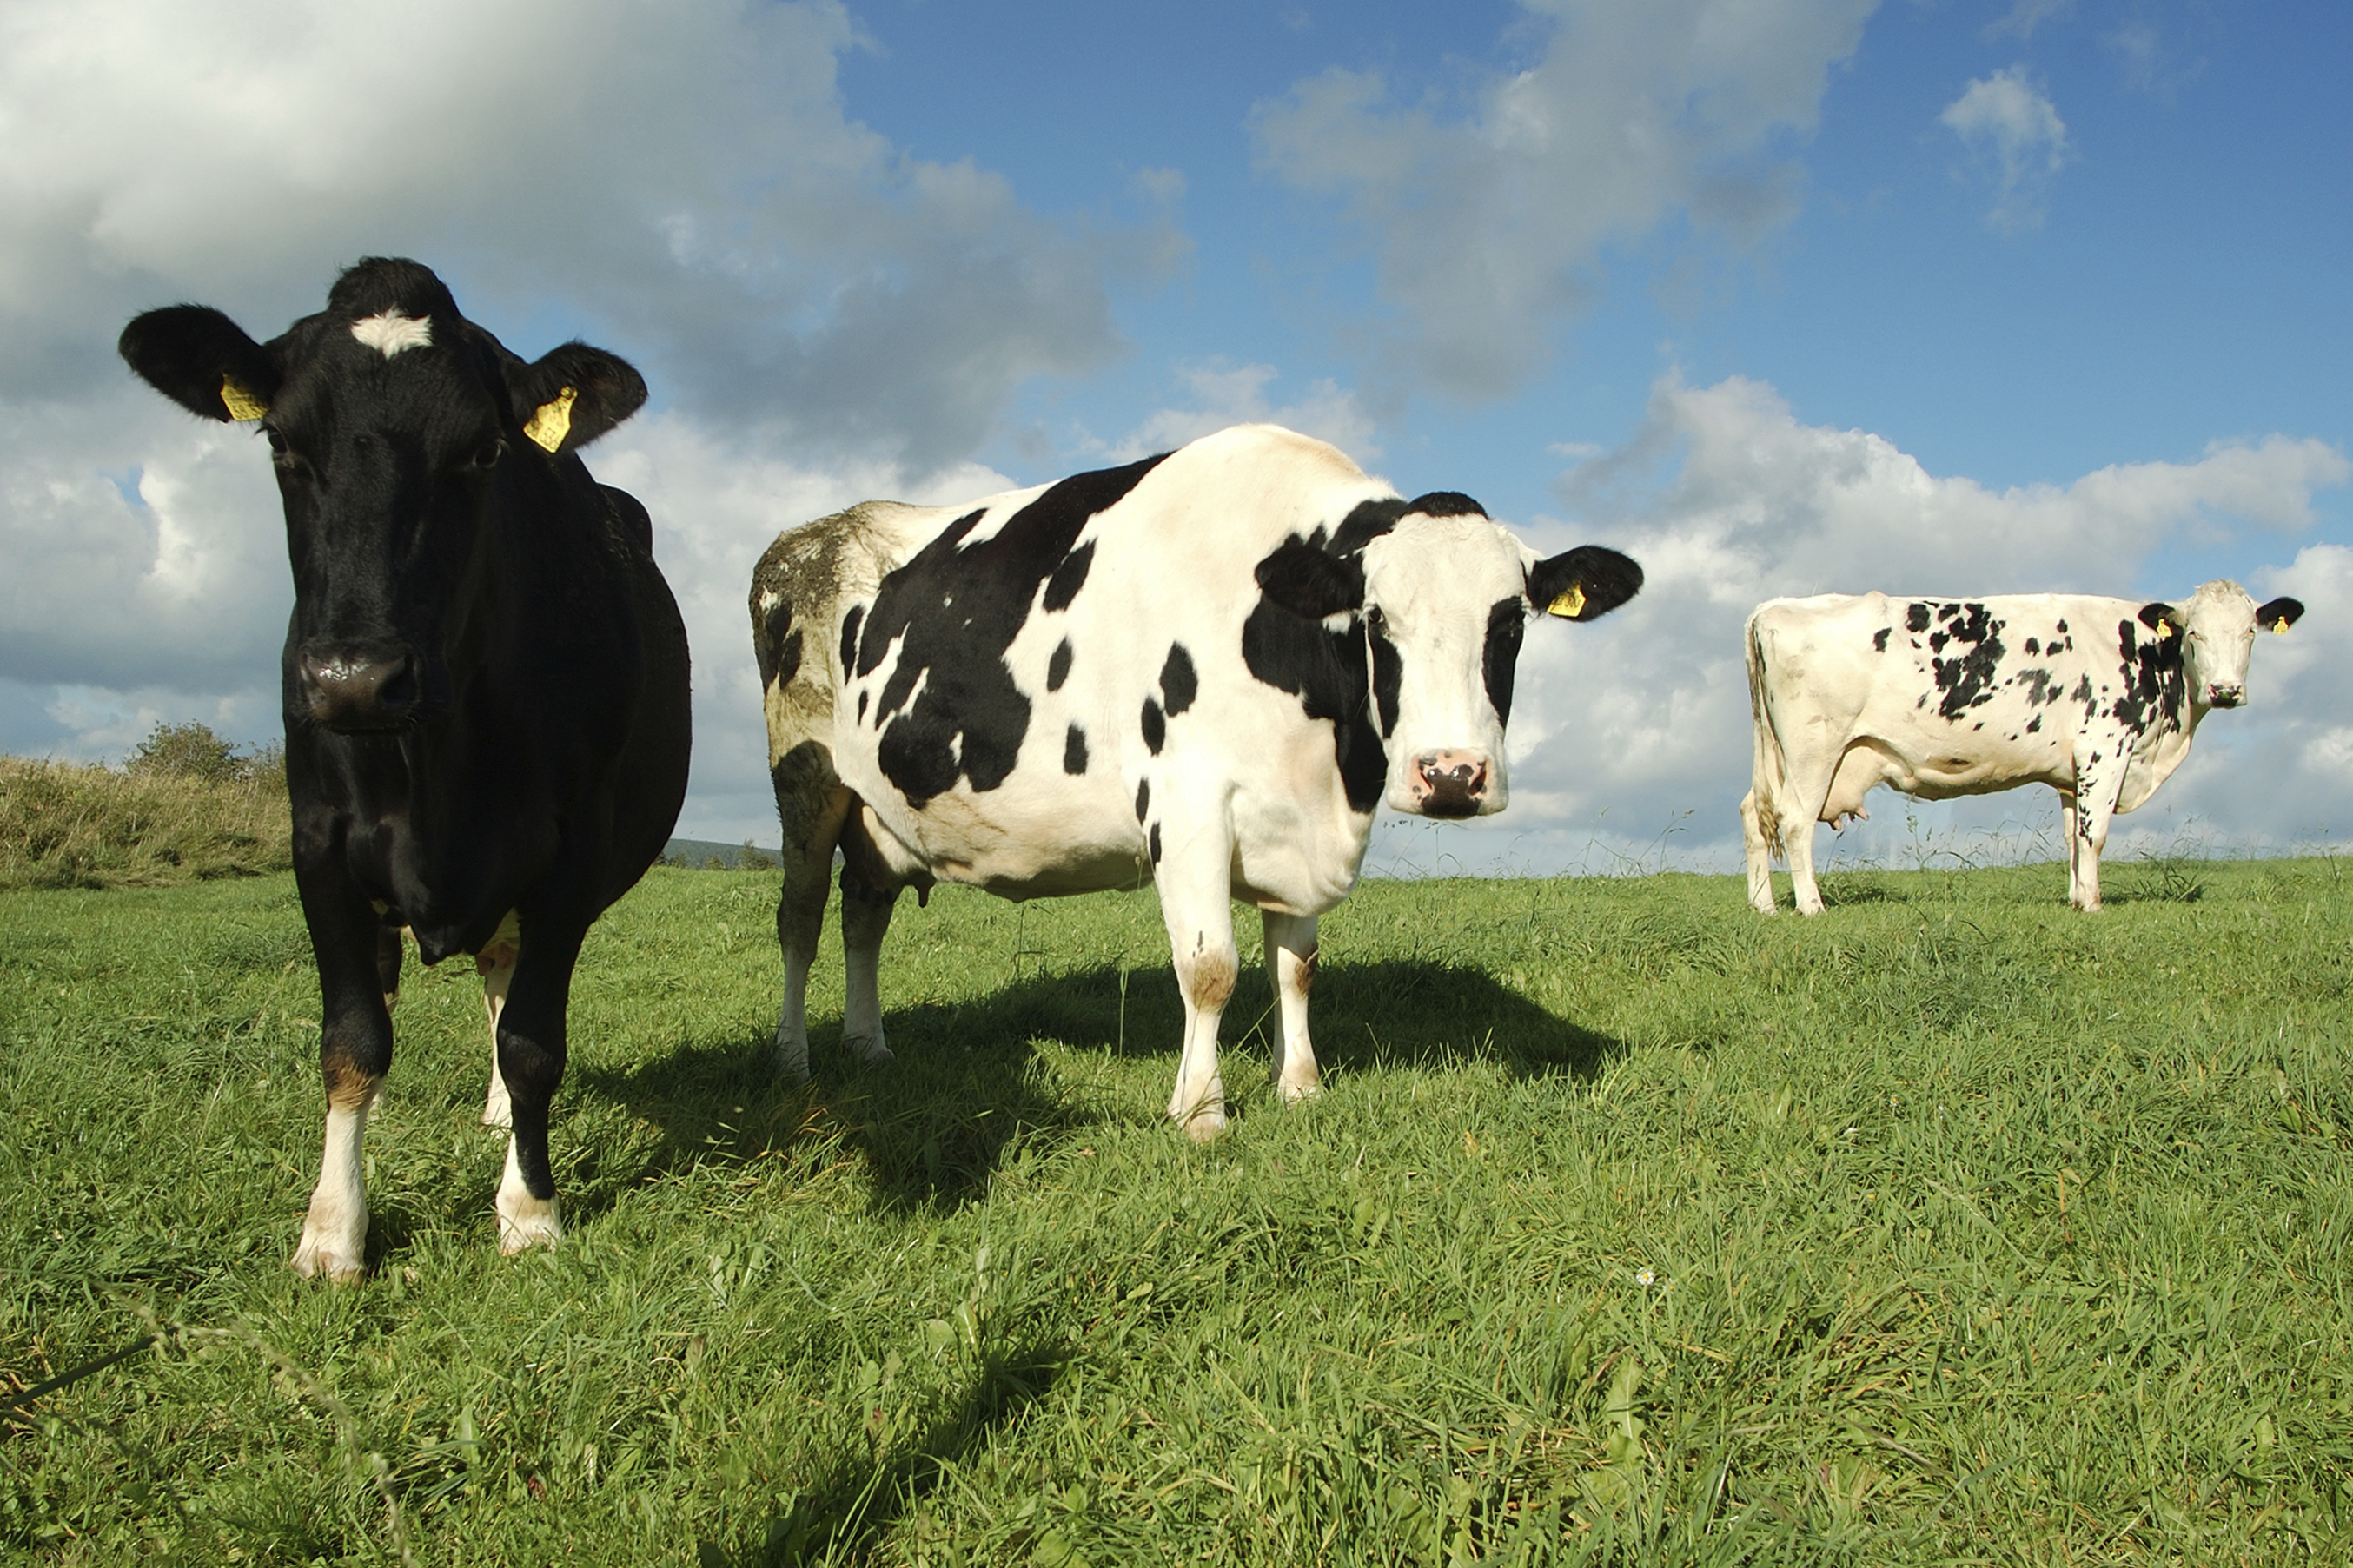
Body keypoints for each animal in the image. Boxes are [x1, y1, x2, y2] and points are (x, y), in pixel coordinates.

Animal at [122, 257, 686, 1279]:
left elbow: (535, 1040)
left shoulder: (572, 850)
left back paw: (502, 1114)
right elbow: (351, 1040)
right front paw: (331, 1229)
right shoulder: (318, 843)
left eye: (485, 451)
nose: (354, 676)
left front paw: (530, 1210)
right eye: (282, 443)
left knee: (505, 984)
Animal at [748, 430, 1637, 1142]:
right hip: (807, 779)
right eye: (1377, 618)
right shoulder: (1186, 805)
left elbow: (1297, 966)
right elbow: (1211, 968)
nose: (1451, 774)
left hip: (878, 810)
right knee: (800, 919)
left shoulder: (1298, 820)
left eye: (1510, 621)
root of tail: (805, 536)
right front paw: (1201, 1111)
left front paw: (1300, 1086)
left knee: (864, 914)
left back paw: (870, 1046)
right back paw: (793, 1060)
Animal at [1750, 583, 2297, 911]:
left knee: (1754, 816)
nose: (2226, 690)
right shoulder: (2105, 749)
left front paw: (2076, 899)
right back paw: (1811, 906)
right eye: (2194, 634)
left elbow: (2074, 837)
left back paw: (1764, 907)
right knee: (1794, 820)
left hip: (1777, 755)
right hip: (1814, 750)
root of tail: (1773, 607)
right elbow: (2095, 834)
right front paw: (2094, 904)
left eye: (2250, 632)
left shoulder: (2073, 772)